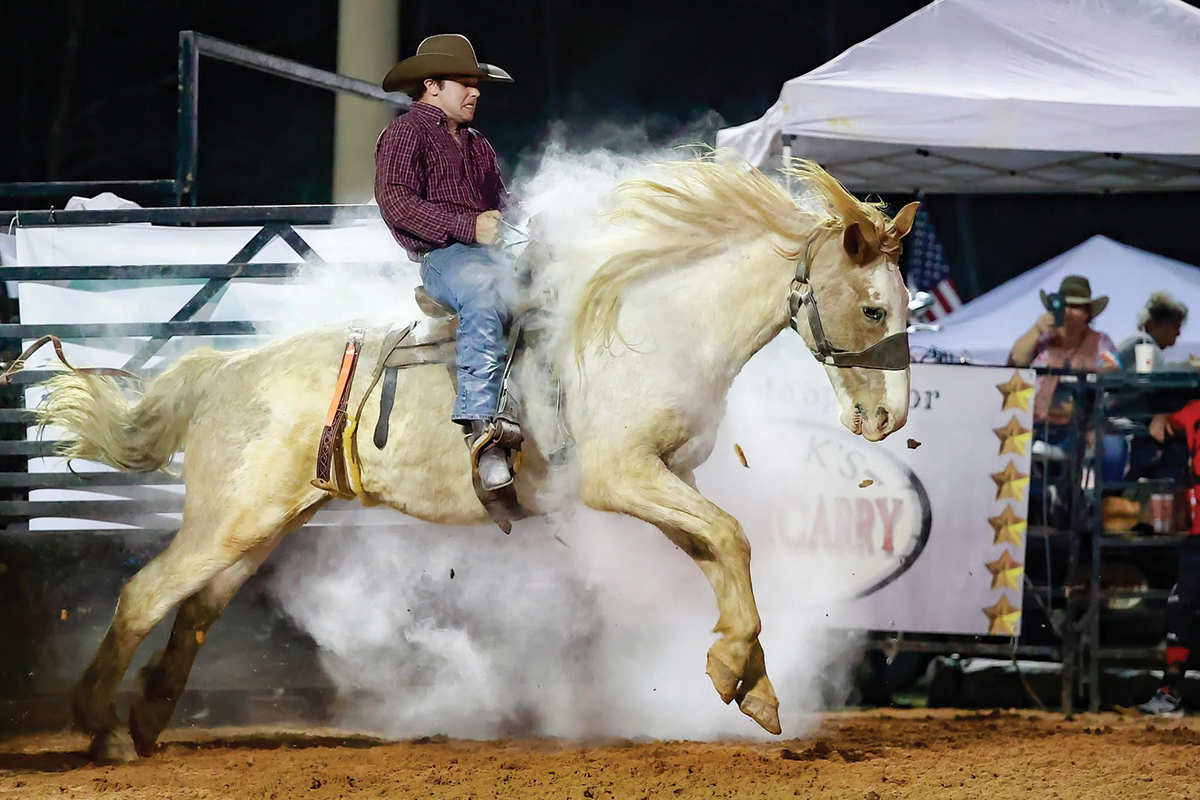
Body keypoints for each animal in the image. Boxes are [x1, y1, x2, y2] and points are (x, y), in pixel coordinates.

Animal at [37, 153, 916, 762]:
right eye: (875, 308)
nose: (888, 417)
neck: (651, 325)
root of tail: (224, 373)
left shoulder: (668, 477)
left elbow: (717, 549)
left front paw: (751, 683)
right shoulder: (621, 478)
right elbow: (730, 536)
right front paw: (737, 670)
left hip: (257, 526)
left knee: (194, 611)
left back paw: (144, 719)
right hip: (228, 519)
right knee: (145, 596)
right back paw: (100, 729)